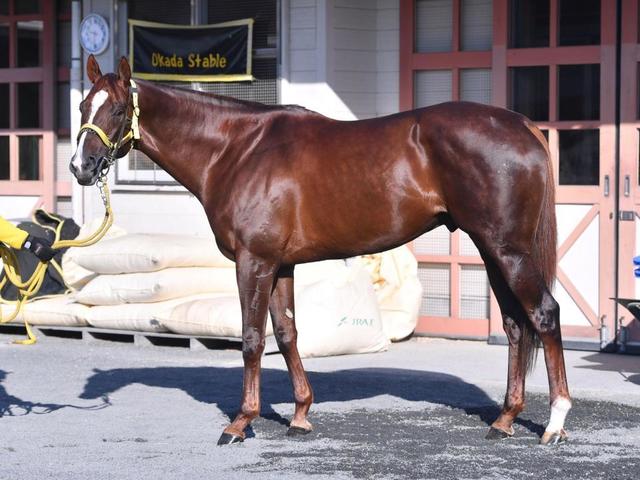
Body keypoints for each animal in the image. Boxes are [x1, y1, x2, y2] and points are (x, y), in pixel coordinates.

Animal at [70, 55, 570, 446]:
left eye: (118, 109)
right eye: (81, 106)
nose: (81, 167)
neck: (237, 149)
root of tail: (521, 125)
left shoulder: (254, 262)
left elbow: (252, 339)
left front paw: (240, 423)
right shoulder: (281, 265)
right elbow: (288, 333)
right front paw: (300, 416)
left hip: (508, 251)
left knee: (544, 314)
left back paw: (555, 423)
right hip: (492, 251)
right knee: (515, 325)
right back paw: (504, 420)